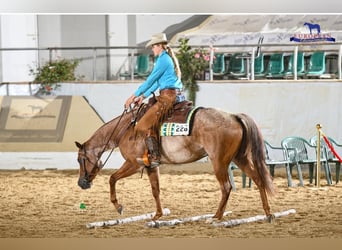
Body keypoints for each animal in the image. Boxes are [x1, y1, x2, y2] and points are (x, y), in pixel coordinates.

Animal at [76, 102, 276, 222]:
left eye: (80, 159)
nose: (81, 183)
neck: (127, 129)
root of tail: (234, 116)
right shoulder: (150, 166)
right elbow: (155, 190)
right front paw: (157, 215)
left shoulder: (134, 163)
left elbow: (112, 179)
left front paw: (118, 207)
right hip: (239, 158)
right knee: (258, 180)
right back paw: (268, 213)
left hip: (219, 162)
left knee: (226, 187)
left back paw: (216, 216)